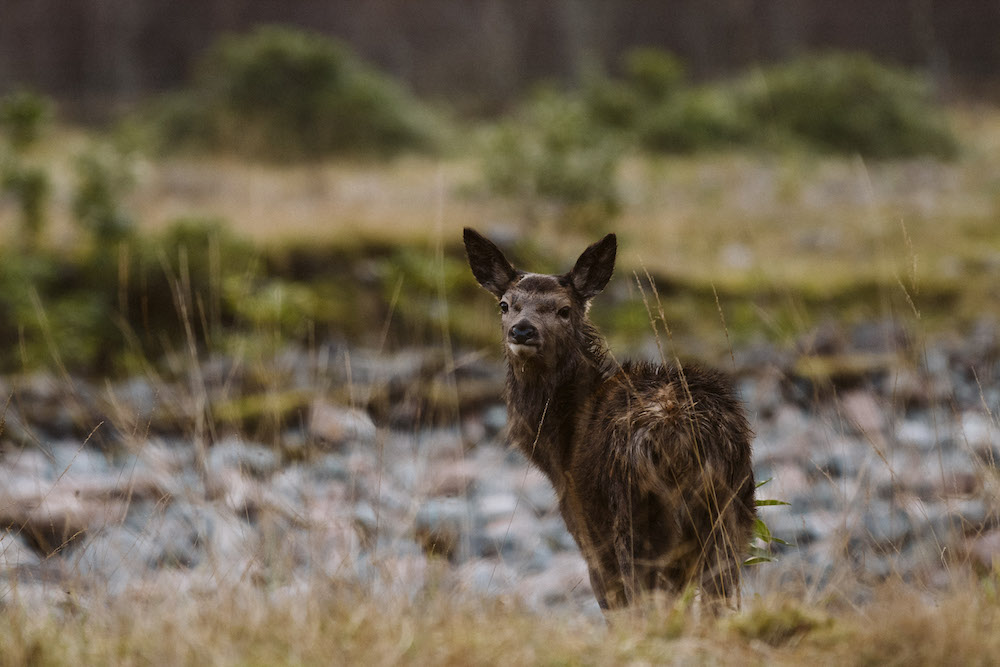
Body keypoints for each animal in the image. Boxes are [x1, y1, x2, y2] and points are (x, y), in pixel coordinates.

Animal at [464, 230, 752, 616]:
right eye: (505, 305)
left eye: (564, 309)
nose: (522, 331)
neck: (558, 450)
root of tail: (686, 440)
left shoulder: (586, 525)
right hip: (732, 517)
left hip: (638, 521)